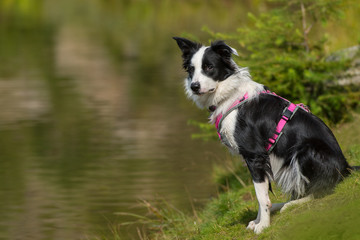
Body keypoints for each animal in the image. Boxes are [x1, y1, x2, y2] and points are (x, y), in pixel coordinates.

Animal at [173, 37, 352, 232]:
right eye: (191, 70)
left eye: (209, 67)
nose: (194, 86)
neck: (230, 95)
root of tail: (347, 168)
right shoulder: (255, 159)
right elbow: (261, 192)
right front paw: (258, 221)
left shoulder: (254, 155)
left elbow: (261, 197)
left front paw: (263, 226)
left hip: (305, 152)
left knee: (322, 189)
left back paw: (291, 205)